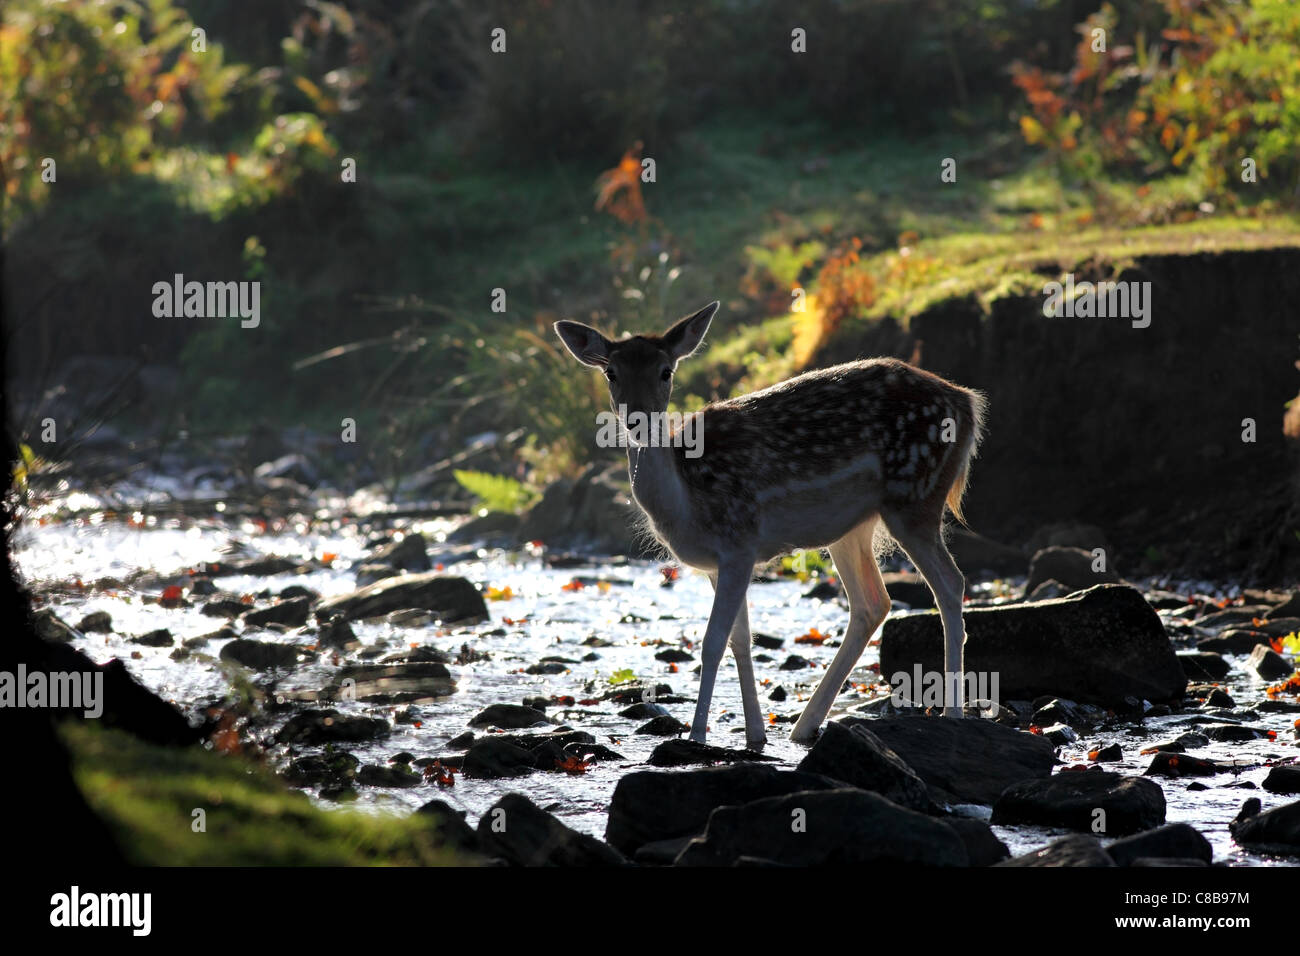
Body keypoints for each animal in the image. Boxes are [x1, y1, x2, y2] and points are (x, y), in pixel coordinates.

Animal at [551, 300, 982, 749]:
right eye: (611, 373)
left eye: (665, 371)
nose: (638, 421)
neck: (686, 502)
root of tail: (969, 403)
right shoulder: (718, 562)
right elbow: (741, 640)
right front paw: (755, 734)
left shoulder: (739, 539)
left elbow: (712, 642)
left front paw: (698, 735)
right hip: (852, 528)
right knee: (873, 602)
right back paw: (804, 726)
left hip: (915, 496)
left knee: (950, 584)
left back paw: (952, 713)